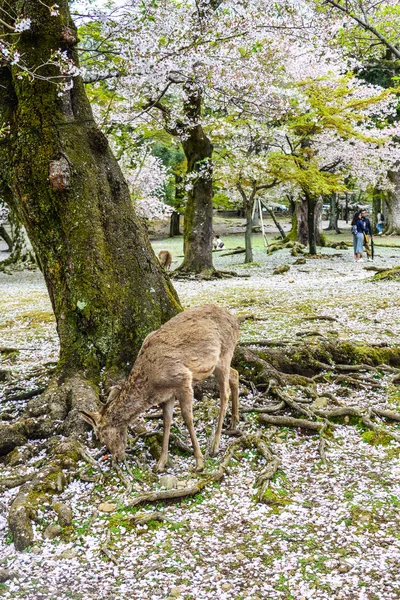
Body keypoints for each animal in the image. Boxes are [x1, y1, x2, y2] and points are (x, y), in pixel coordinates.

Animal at [79, 304, 239, 474]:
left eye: (100, 436)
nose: (117, 457)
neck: (152, 385)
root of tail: (235, 321)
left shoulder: (183, 379)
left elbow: (187, 418)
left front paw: (199, 462)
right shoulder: (168, 394)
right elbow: (166, 420)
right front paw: (160, 463)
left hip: (225, 353)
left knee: (224, 394)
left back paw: (215, 444)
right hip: (216, 365)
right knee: (235, 374)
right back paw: (234, 421)